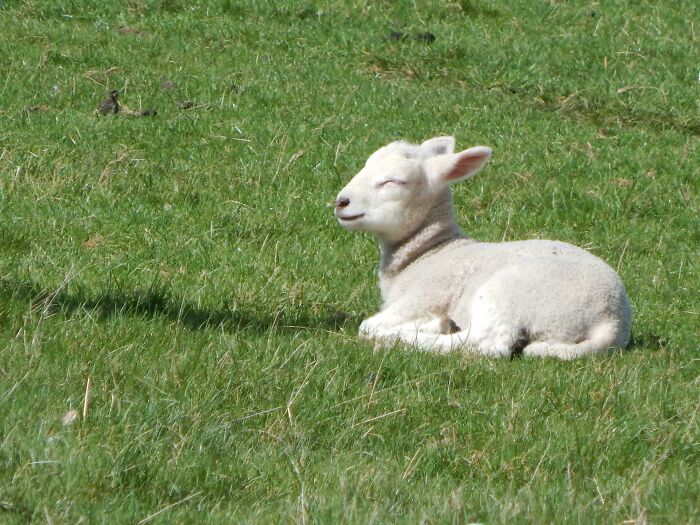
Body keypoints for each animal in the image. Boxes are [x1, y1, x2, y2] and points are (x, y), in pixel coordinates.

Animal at [334, 136, 632, 359]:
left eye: (393, 181)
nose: (341, 201)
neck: (430, 252)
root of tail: (612, 320)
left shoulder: (423, 297)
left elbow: (366, 326)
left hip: (508, 295)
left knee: (487, 343)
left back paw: (420, 332)